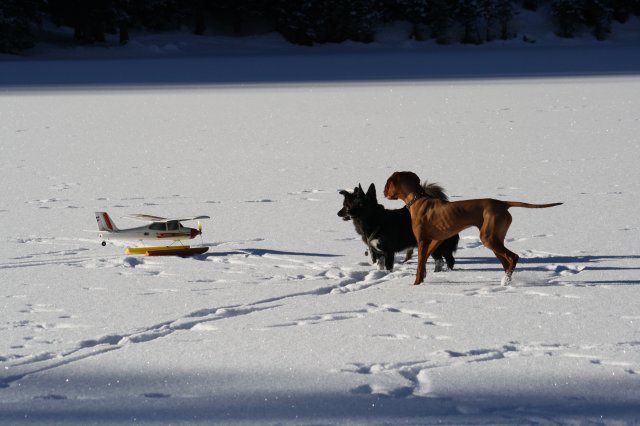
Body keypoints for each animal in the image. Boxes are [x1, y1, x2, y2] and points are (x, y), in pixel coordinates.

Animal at [384, 171, 560, 286]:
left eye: (387, 184)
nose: (383, 192)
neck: (418, 200)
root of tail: (502, 203)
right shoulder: (436, 240)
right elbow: (425, 259)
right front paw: (423, 277)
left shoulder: (422, 240)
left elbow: (420, 263)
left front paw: (416, 283)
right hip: (494, 238)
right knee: (507, 261)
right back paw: (506, 281)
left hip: (488, 237)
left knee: (514, 257)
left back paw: (506, 281)